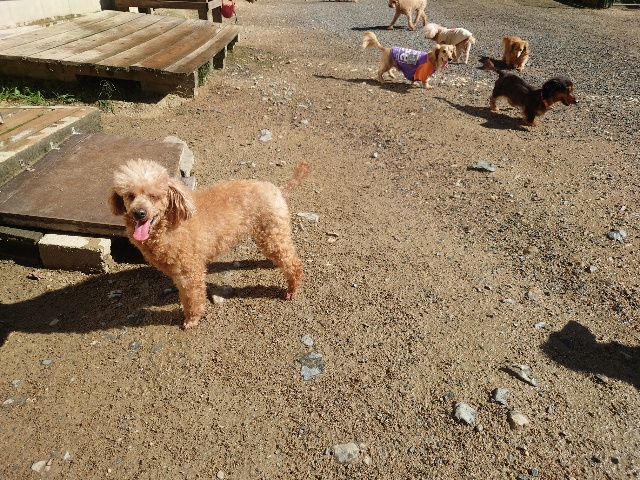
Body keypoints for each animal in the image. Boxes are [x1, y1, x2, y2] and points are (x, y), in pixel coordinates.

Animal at [109, 159, 310, 330]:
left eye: (154, 196)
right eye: (130, 196)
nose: (139, 213)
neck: (167, 226)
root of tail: (279, 190)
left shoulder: (190, 272)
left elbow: (193, 298)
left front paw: (191, 320)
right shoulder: (178, 273)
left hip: (271, 233)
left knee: (294, 263)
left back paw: (292, 290)